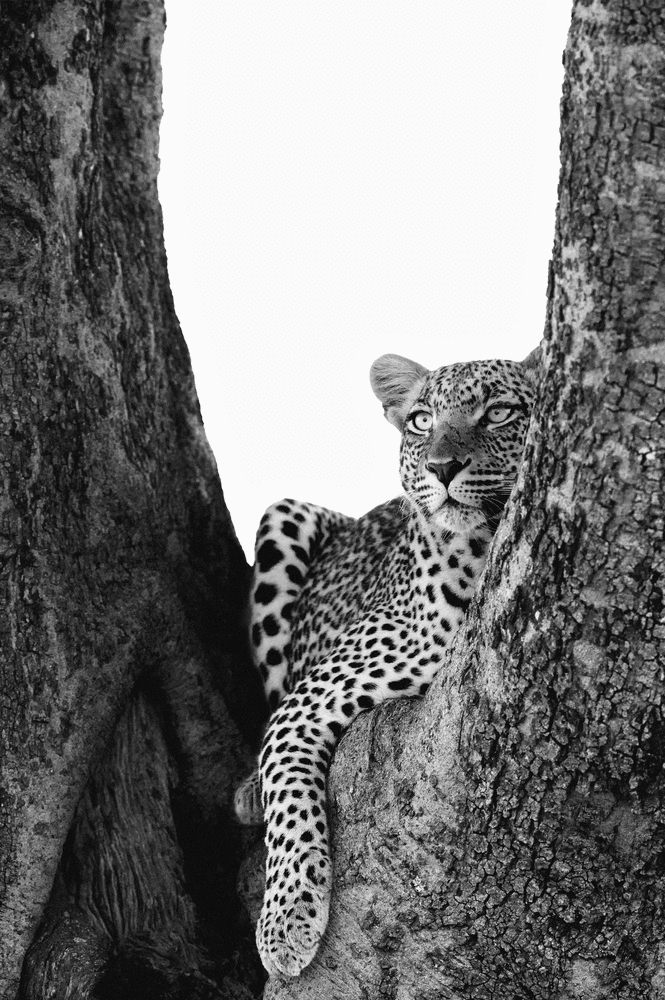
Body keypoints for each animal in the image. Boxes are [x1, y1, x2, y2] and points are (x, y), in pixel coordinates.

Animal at [236, 350, 536, 976]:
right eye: (421, 421)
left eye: (499, 412)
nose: (443, 468)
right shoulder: (304, 704)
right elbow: (290, 805)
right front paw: (287, 923)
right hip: (284, 516)